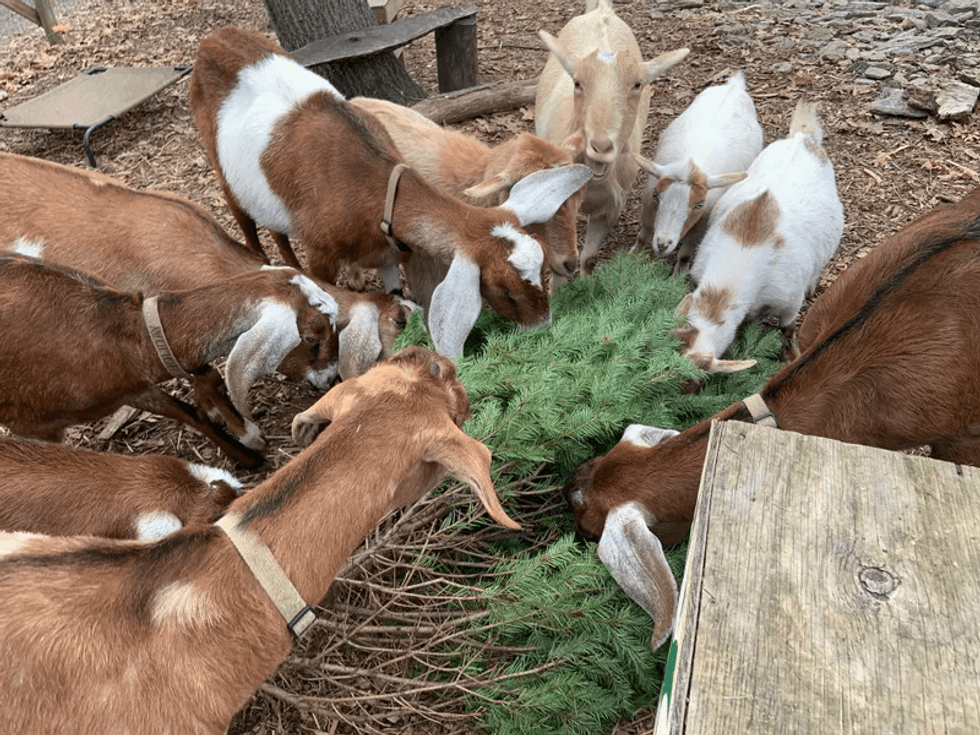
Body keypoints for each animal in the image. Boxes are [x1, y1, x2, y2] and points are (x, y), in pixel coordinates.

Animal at [0, 256, 341, 468]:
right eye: (312, 338)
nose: (333, 379)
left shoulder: (133, 387)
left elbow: (187, 410)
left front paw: (247, 450)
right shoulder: (35, 427)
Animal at [535, 0, 689, 275]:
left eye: (638, 84)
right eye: (577, 83)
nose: (601, 146)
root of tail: (602, 11)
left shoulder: (609, 210)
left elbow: (588, 259)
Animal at [632, 70, 764, 277]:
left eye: (699, 204)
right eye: (656, 195)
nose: (663, 244)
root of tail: (735, 87)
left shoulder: (702, 223)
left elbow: (685, 254)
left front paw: (677, 277)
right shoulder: (647, 203)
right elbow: (643, 235)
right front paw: (631, 257)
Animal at [672, 101, 844, 375]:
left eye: (698, 380)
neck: (745, 247)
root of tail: (803, 139)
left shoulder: (789, 303)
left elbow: (788, 328)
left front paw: (791, 355)